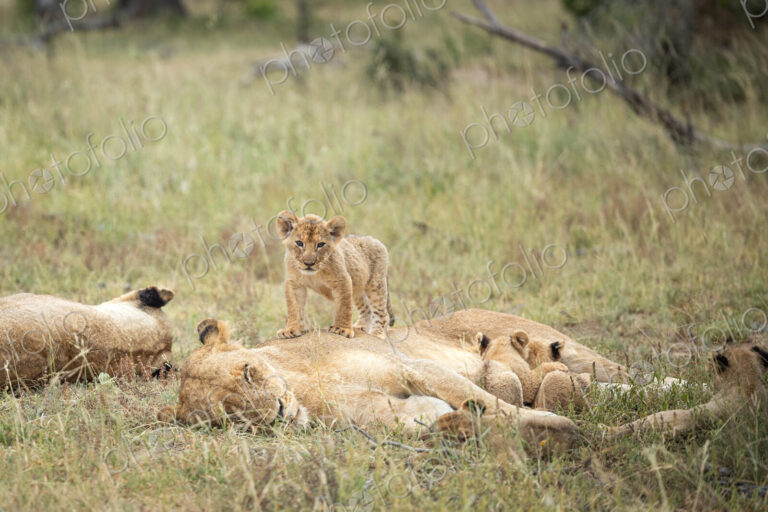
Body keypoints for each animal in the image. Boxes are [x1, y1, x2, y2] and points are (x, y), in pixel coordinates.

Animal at [159, 319, 579, 452]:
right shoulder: (399, 413)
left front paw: (567, 426)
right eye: (232, 415)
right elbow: (452, 416)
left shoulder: (412, 368)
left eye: (247, 371)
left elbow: (490, 403)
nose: (278, 413)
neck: (303, 387)